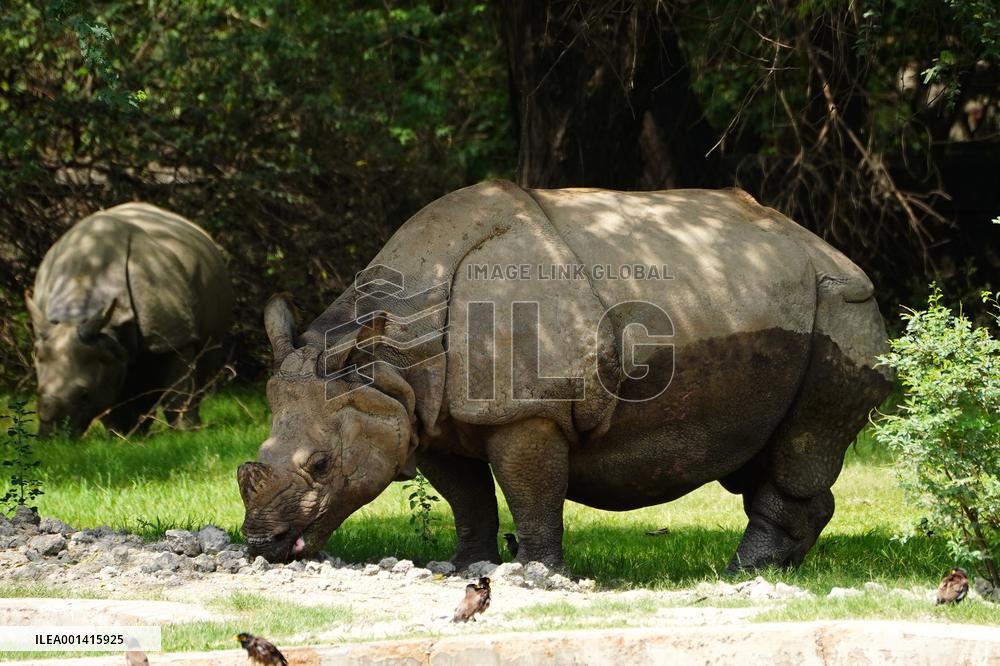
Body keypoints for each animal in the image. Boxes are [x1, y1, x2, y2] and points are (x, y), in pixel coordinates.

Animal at [27, 202, 233, 437]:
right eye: (37, 392)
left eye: (84, 395)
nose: (52, 438)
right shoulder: (104, 344)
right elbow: (111, 391)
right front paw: (119, 436)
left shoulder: (174, 336)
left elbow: (178, 386)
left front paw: (185, 432)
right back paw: (135, 432)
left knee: (205, 357)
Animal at [239, 180, 892, 571]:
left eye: (322, 464)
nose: (261, 545)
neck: (389, 359)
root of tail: (828, 248)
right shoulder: (424, 414)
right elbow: (467, 499)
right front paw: (466, 567)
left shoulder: (528, 410)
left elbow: (531, 493)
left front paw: (535, 572)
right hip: (769, 302)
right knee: (760, 452)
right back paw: (777, 569)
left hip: (842, 307)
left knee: (800, 447)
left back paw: (739, 573)